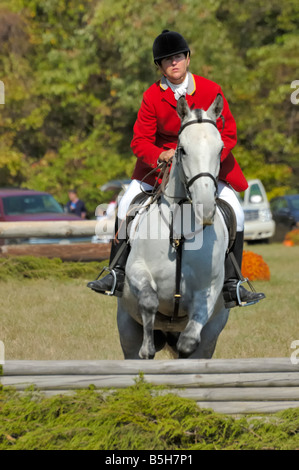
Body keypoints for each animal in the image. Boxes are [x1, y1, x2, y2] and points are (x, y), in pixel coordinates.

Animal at [116, 95, 230, 360]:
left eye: (220, 149)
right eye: (182, 150)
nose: (205, 208)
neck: (180, 231)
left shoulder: (209, 290)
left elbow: (189, 341)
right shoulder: (137, 271)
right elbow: (149, 301)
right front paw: (147, 348)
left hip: (213, 332)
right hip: (125, 325)